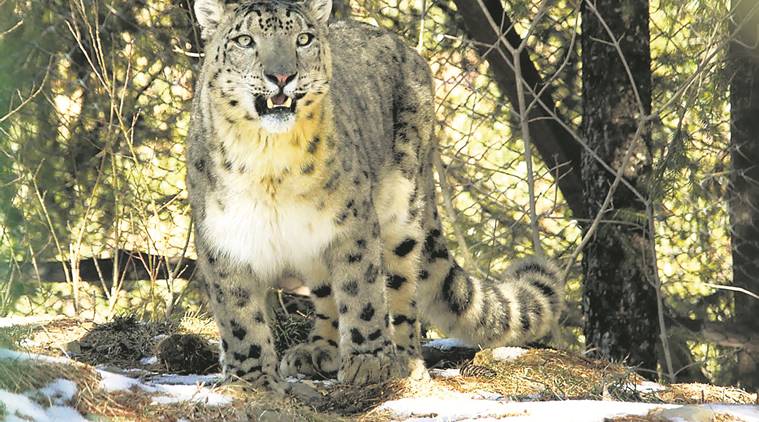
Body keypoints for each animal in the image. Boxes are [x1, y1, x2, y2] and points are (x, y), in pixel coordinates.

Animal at [186, 0, 564, 392]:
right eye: (245, 40)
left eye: (303, 39)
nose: (282, 76)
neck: (271, 164)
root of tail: (407, 49)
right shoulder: (225, 235)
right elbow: (239, 313)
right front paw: (251, 379)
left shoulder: (351, 220)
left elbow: (361, 290)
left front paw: (368, 362)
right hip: (313, 238)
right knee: (325, 286)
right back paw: (318, 350)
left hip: (402, 207)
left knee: (399, 288)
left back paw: (404, 361)